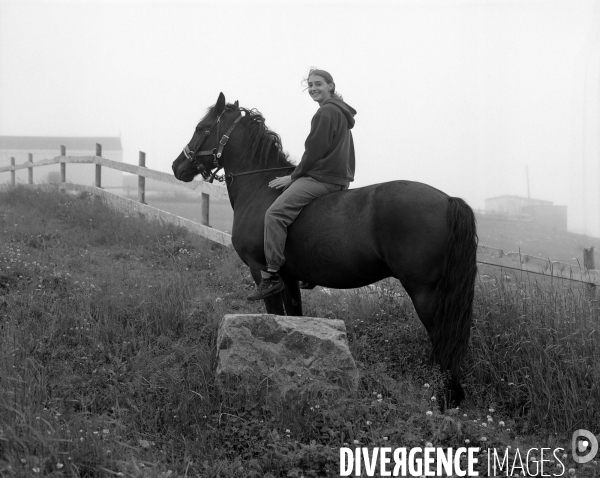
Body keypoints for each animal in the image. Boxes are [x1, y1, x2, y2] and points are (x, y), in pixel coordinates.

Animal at [173, 92, 478, 404]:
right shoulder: (289, 278)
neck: (260, 188)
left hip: (424, 292)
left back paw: (447, 394)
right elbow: (294, 318)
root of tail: (448, 200)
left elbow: (274, 315)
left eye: (201, 128)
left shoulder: (262, 272)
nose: (177, 167)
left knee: (443, 336)